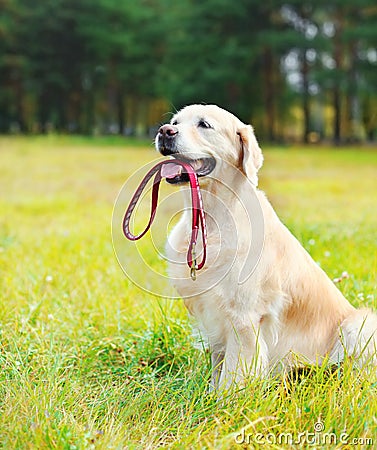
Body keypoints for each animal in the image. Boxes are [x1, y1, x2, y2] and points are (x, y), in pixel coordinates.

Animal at [154, 103, 374, 390]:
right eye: (175, 122)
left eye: (204, 124)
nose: (164, 131)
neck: (213, 219)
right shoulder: (214, 316)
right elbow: (218, 363)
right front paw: (208, 393)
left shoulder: (244, 318)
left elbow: (233, 373)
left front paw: (223, 399)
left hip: (361, 324)